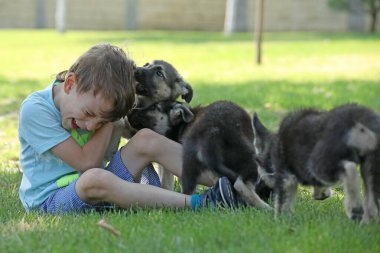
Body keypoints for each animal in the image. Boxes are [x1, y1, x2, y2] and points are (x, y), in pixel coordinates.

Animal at [129, 100, 272, 210]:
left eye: (154, 107)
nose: (131, 111)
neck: (181, 125)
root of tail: (212, 130)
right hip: (247, 156)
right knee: (241, 185)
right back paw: (265, 207)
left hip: (188, 165)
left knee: (188, 193)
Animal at [252, 103, 380, 221]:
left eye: (257, 161)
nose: (258, 184)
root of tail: (358, 118)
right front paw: (322, 193)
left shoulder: (286, 177)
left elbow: (282, 204)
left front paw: (280, 221)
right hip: (371, 166)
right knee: (371, 201)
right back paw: (367, 221)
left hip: (320, 164)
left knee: (349, 168)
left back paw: (355, 208)